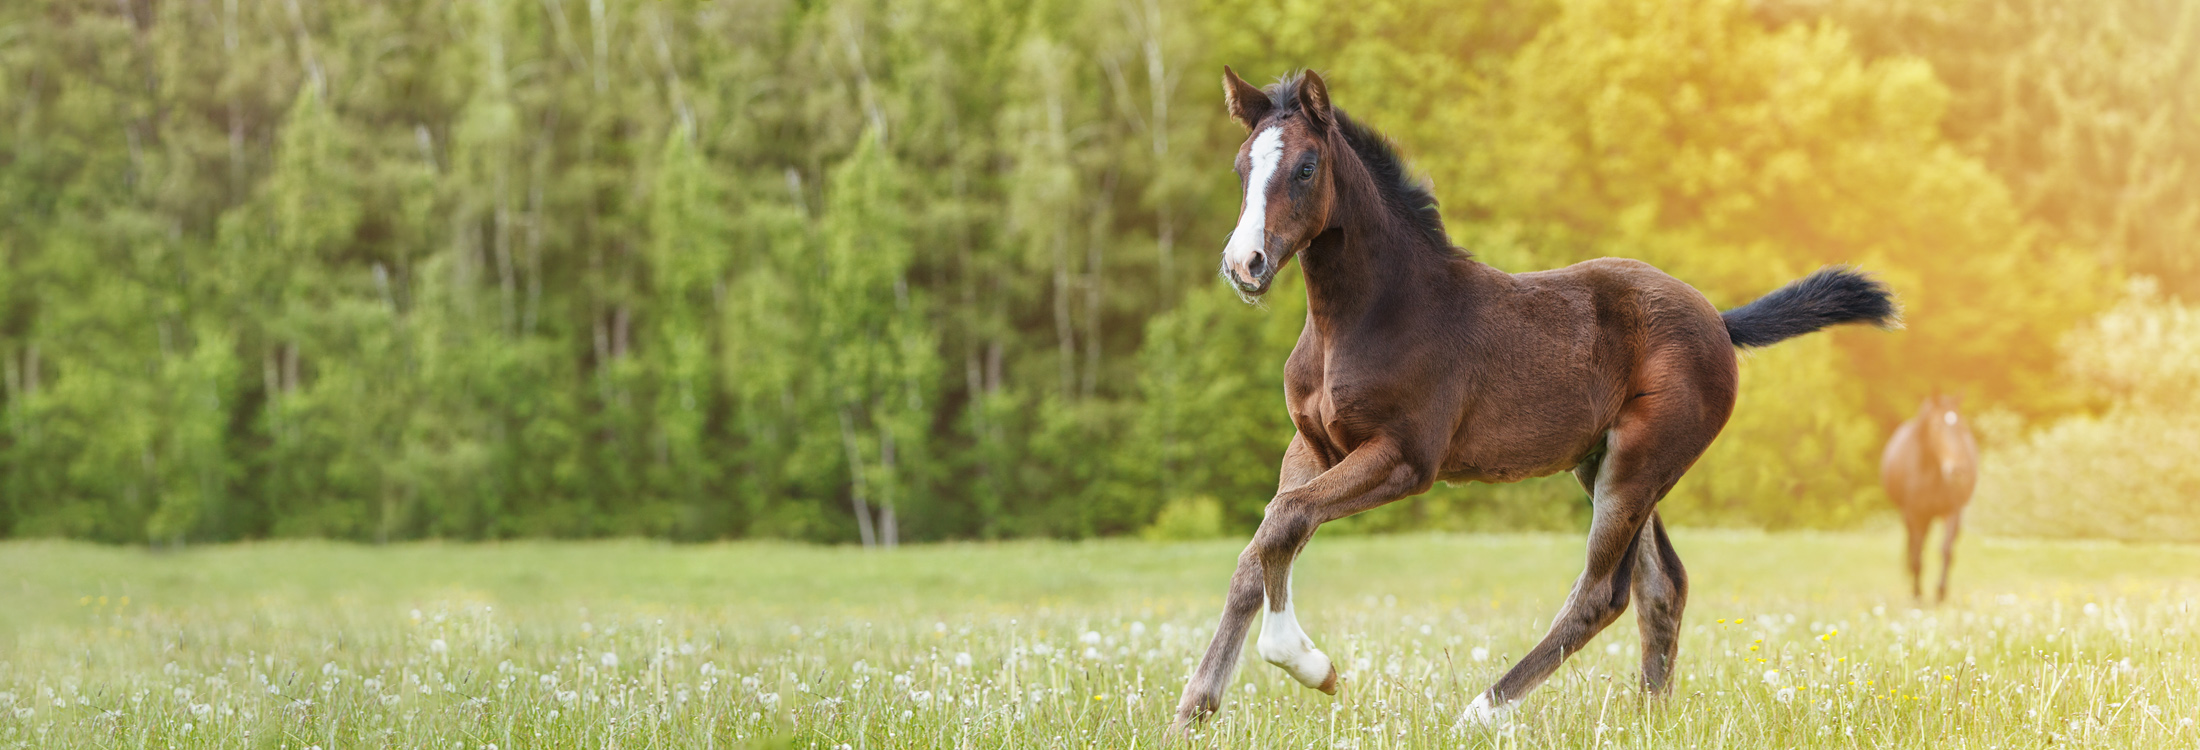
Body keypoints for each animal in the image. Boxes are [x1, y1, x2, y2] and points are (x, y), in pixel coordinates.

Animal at [1179, 65, 1900, 730]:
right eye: (1243, 167)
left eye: (1305, 168)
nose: (1243, 265)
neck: (1362, 316)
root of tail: (1721, 323)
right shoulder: (1312, 446)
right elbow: (1260, 546)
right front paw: (1194, 707)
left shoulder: (1405, 458)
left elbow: (1286, 520)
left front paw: (1310, 666)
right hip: (1606, 463)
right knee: (1662, 585)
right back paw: (1649, 717)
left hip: (1638, 464)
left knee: (1602, 594)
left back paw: (1479, 713)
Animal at [1874, 391, 1980, 602]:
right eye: (1937, 425)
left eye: (1961, 426)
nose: (1957, 470)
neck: (1932, 475)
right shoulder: (1914, 514)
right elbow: (1917, 555)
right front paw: (1917, 595)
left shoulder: (1952, 512)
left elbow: (1946, 550)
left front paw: (1940, 593)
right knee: (1914, 547)